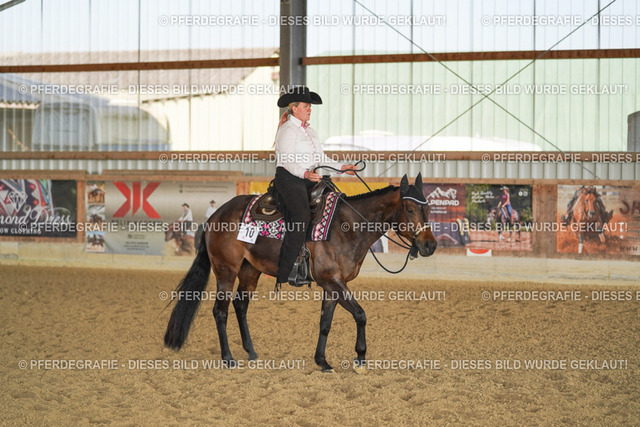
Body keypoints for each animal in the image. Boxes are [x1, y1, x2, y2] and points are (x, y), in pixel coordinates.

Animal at [164, 174, 437, 372]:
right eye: (410, 209)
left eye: (428, 209)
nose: (430, 245)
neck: (347, 227)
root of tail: (215, 216)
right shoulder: (332, 281)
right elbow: (360, 315)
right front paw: (360, 359)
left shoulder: (333, 285)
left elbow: (325, 323)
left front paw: (322, 361)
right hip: (226, 271)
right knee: (220, 311)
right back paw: (228, 358)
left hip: (250, 271)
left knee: (240, 306)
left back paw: (251, 352)